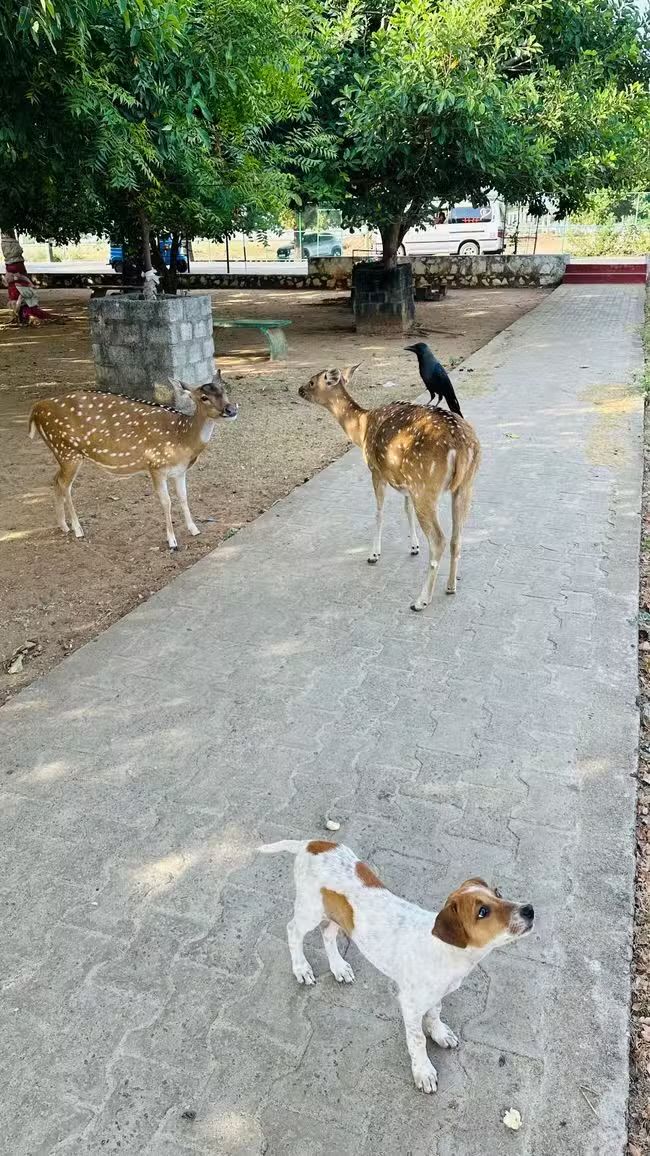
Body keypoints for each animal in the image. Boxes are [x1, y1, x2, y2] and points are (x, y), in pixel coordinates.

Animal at [29, 371, 238, 549]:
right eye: (204, 397)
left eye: (224, 390)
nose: (231, 409)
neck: (181, 438)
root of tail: (36, 409)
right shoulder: (156, 466)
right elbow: (166, 502)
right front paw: (172, 541)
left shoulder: (180, 471)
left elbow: (184, 497)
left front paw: (194, 529)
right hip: (67, 451)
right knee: (65, 485)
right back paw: (78, 529)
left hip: (61, 453)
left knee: (55, 480)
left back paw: (63, 525)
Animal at [298, 365, 480, 611]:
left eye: (311, 381)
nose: (299, 390)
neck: (361, 428)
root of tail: (461, 446)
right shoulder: (406, 483)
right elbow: (406, 510)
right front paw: (413, 547)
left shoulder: (376, 470)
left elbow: (379, 512)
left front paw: (373, 554)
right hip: (463, 485)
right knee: (456, 536)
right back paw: (451, 586)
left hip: (426, 485)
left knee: (439, 539)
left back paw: (421, 600)